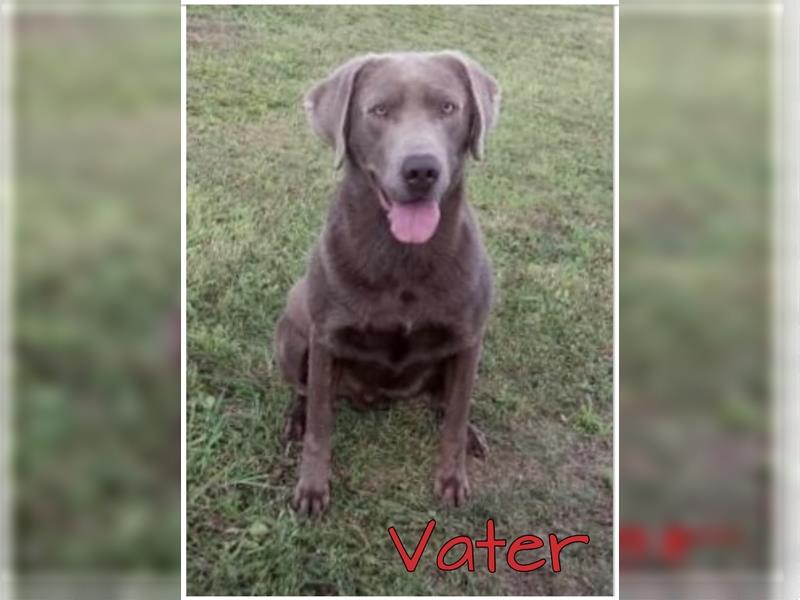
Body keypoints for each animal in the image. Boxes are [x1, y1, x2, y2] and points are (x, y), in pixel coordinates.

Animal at [276, 51, 500, 516]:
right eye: (378, 110)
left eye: (448, 108)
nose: (421, 169)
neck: (403, 258)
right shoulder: (326, 341)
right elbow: (320, 427)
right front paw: (312, 488)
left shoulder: (469, 339)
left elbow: (456, 417)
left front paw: (452, 477)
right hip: (291, 335)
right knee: (305, 391)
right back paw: (295, 417)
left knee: (447, 402)